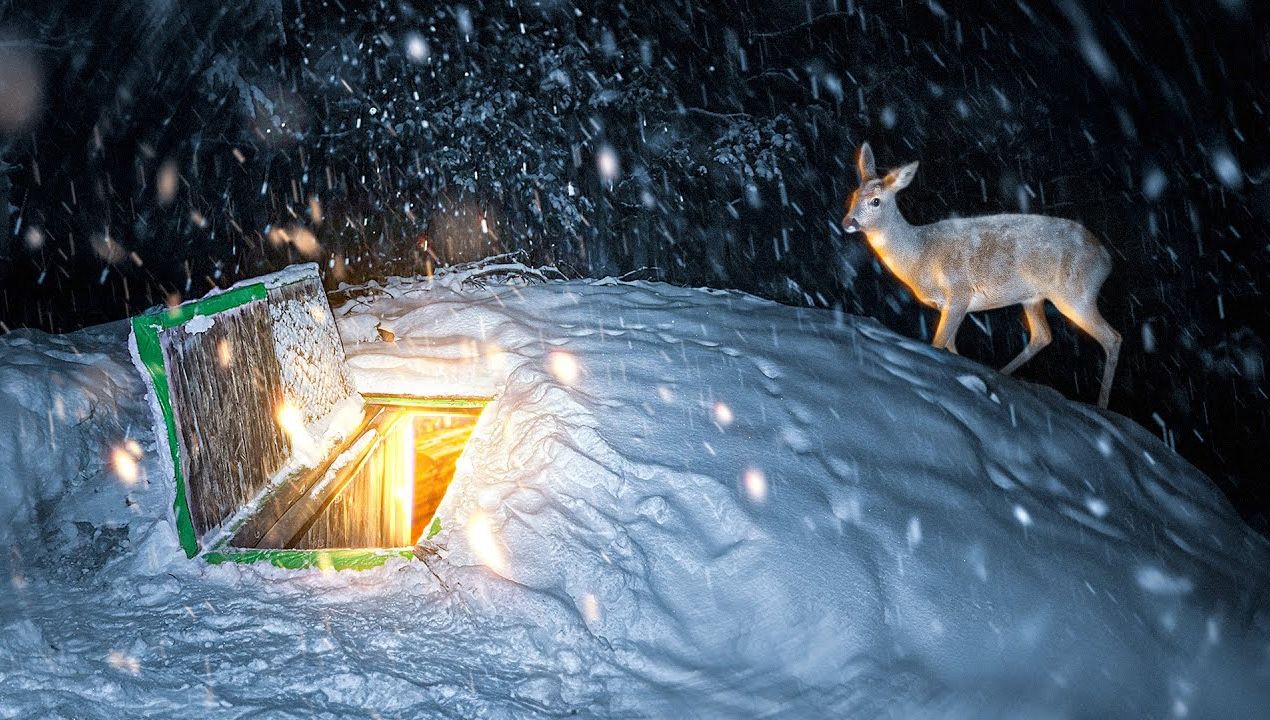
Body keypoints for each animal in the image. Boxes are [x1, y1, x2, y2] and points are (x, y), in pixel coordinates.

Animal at [843, 143, 1122, 408]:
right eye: (854, 195)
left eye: (875, 201)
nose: (848, 222)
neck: (920, 256)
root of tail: (1106, 259)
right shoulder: (949, 305)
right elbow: (950, 347)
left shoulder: (959, 292)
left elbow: (938, 343)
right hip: (1033, 297)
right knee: (1042, 335)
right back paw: (1001, 374)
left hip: (1075, 293)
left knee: (1112, 338)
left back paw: (1102, 406)